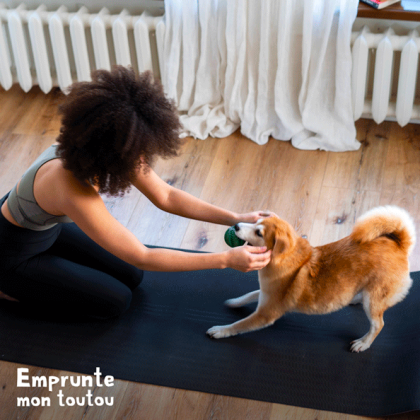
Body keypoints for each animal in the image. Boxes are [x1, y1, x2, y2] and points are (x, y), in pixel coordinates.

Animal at [206, 206, 414, 352]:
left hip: (374, 300)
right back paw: (354, 299)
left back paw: (364, 343)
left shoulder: (266, 313)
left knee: (378, 325)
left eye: (259, 233)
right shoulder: (266, 293)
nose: (236, 226)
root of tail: (399, 245)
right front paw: (235, 302)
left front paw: (221, 330)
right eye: (256, 220)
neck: (284, 260)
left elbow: (238, 325)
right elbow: (249, 294)